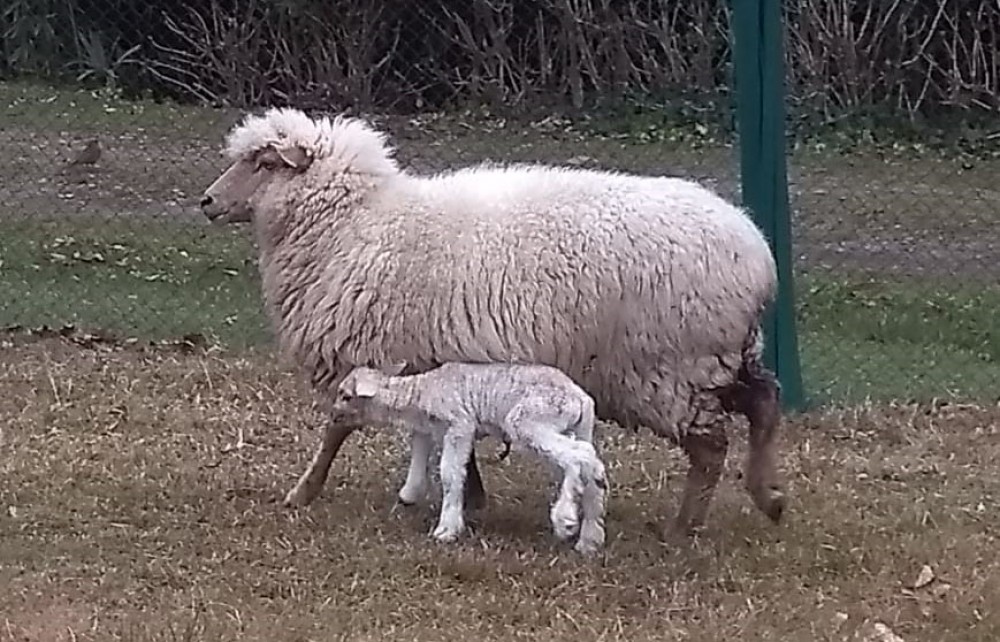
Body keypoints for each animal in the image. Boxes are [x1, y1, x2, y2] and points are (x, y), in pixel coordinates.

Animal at [332, 362, 604, 552]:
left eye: (345, 395)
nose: (333, 415)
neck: (420, 392)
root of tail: (581, 398)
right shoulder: (435, 427)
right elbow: (422, 450)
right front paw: (410, 493)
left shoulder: (459, 424)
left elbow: (450, 474)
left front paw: (446, 529)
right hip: (572, 426)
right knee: (591, 465)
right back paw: (589, 540)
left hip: (531, 419)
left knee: (580, 455)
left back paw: (565, 519)